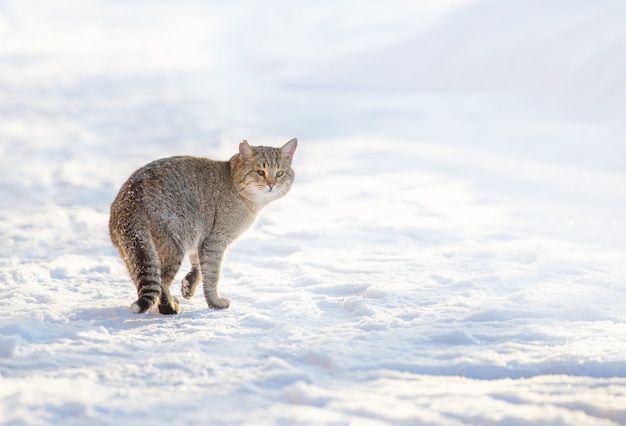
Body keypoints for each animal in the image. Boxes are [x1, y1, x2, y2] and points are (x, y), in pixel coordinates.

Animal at [108, 138, 296, 314]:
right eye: (260, 172)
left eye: (280, 173)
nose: (271, 184)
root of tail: (130, 198)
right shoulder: (215, 241)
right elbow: (212, 274)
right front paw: (214, 302)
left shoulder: (199, 236)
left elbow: (199, 266)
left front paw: (189, 284)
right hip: (172, 245)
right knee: (161, 282)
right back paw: (168, 307)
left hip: (135, 251)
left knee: (143, 278)